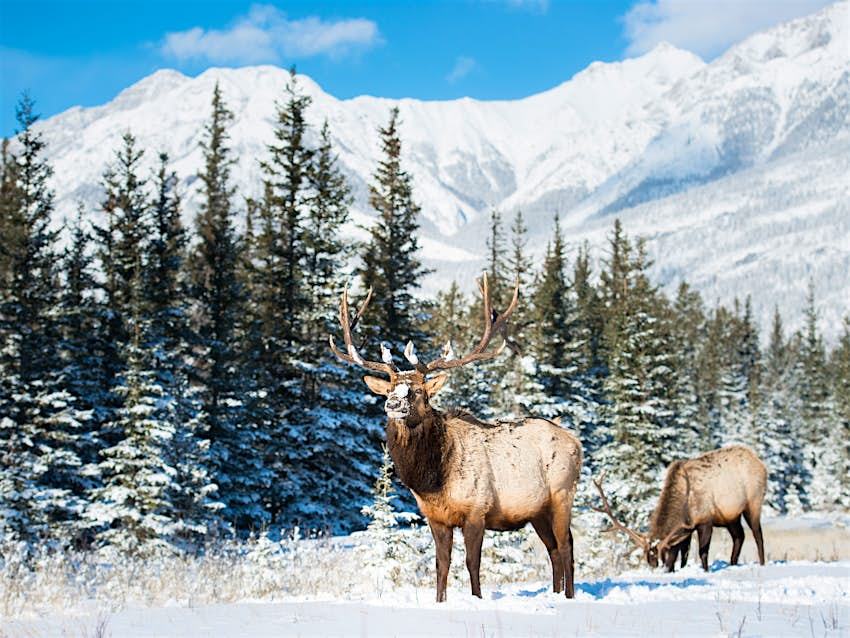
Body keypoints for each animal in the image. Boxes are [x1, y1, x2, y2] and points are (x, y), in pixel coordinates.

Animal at [328, 278, 580, 604]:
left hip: (562, 494)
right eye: (390, 390)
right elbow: (441, 564)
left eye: (419, 392)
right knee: (553, 550)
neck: (432, 480)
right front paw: (440, 600)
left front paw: (476, 598)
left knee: (567, 546)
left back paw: (569, 597)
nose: (393, 404)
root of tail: (576, 442)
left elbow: (472, 563)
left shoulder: (476, 510)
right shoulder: (435, 517)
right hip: (537, 510)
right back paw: (556, 593)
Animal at [588, 444, 768, 576]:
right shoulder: (687, 528)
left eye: (665, 553)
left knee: (757, 534)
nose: (660, 570)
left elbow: (702, 552)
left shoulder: (705, 521)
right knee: (739, 536)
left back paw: (762, 563)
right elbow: (685, 555)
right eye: (648, 561)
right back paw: (732, 563)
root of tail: (760, 462)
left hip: (753, 501)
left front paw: (706, 571)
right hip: (730, 516)